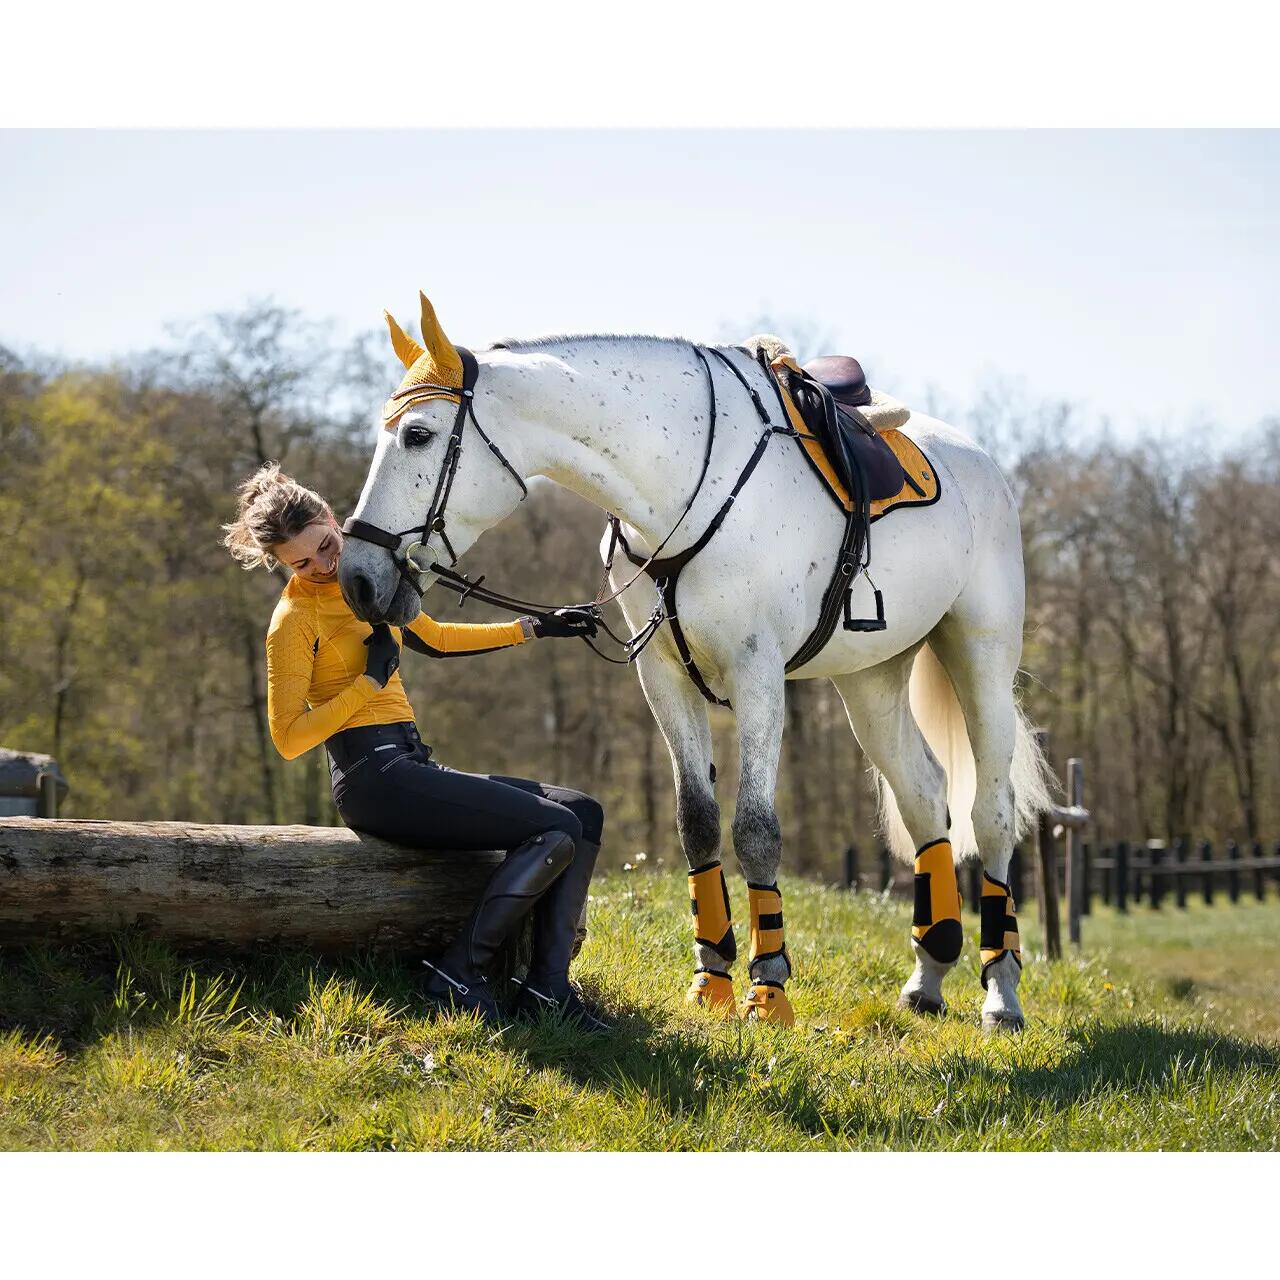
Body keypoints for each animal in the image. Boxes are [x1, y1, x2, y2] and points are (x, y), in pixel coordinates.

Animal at [338, 292, 1054, 1031]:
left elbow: (756, 830)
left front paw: (768, 988)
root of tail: (981, 462)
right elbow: (698, 823)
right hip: (871, 678)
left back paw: (1001, 993)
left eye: (417, 436)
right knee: (923, 798)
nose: (357, 577)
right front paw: (711, 978)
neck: (682, 484)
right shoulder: (663, 675)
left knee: (992, 814)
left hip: (981, 656)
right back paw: (929, 975)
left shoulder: (758, 673)